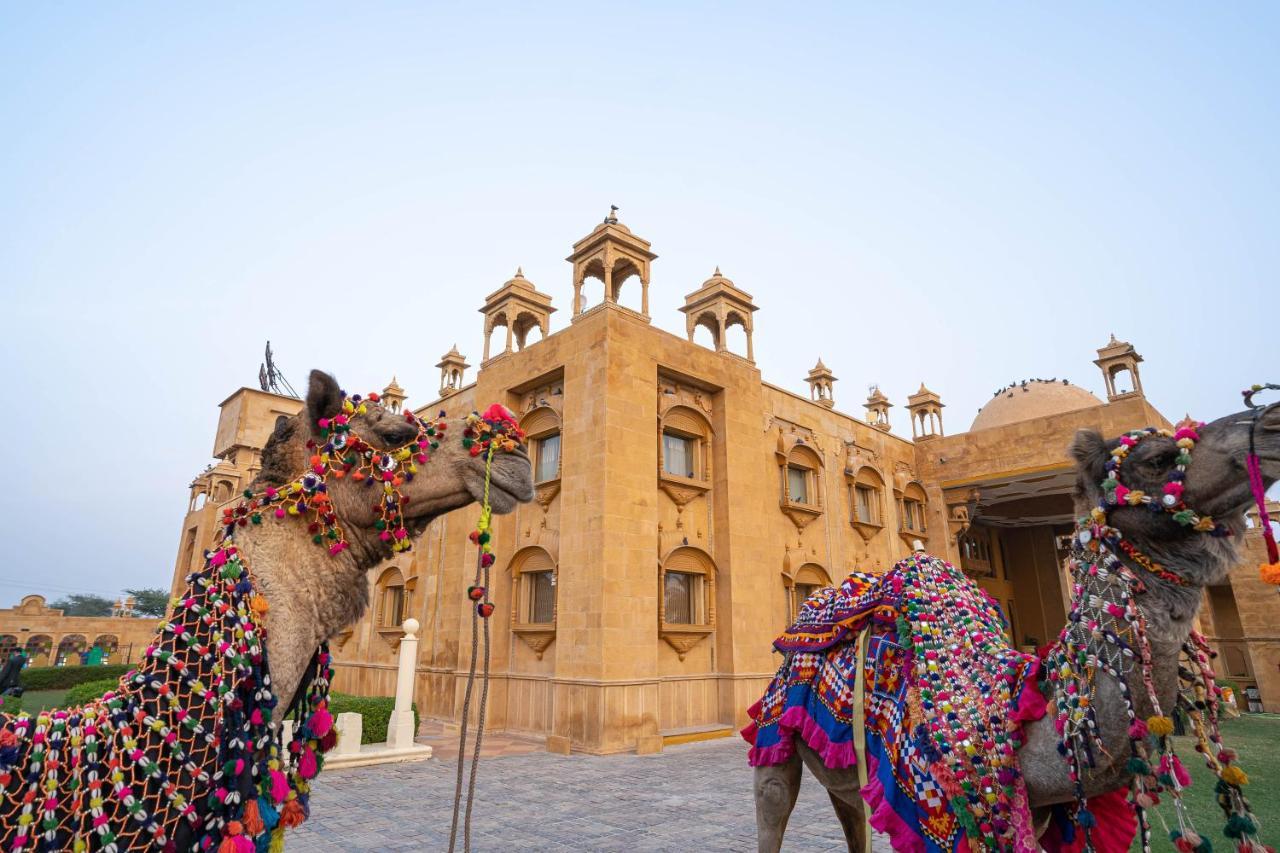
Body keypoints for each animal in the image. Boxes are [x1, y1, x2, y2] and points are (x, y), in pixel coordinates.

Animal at [752, 399, 1274, 850]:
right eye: (1158, 459)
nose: (1268, 422)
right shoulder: (932, 805)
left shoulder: (1037, 816)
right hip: (775, 724)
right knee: (774, 799)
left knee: (851, 813)